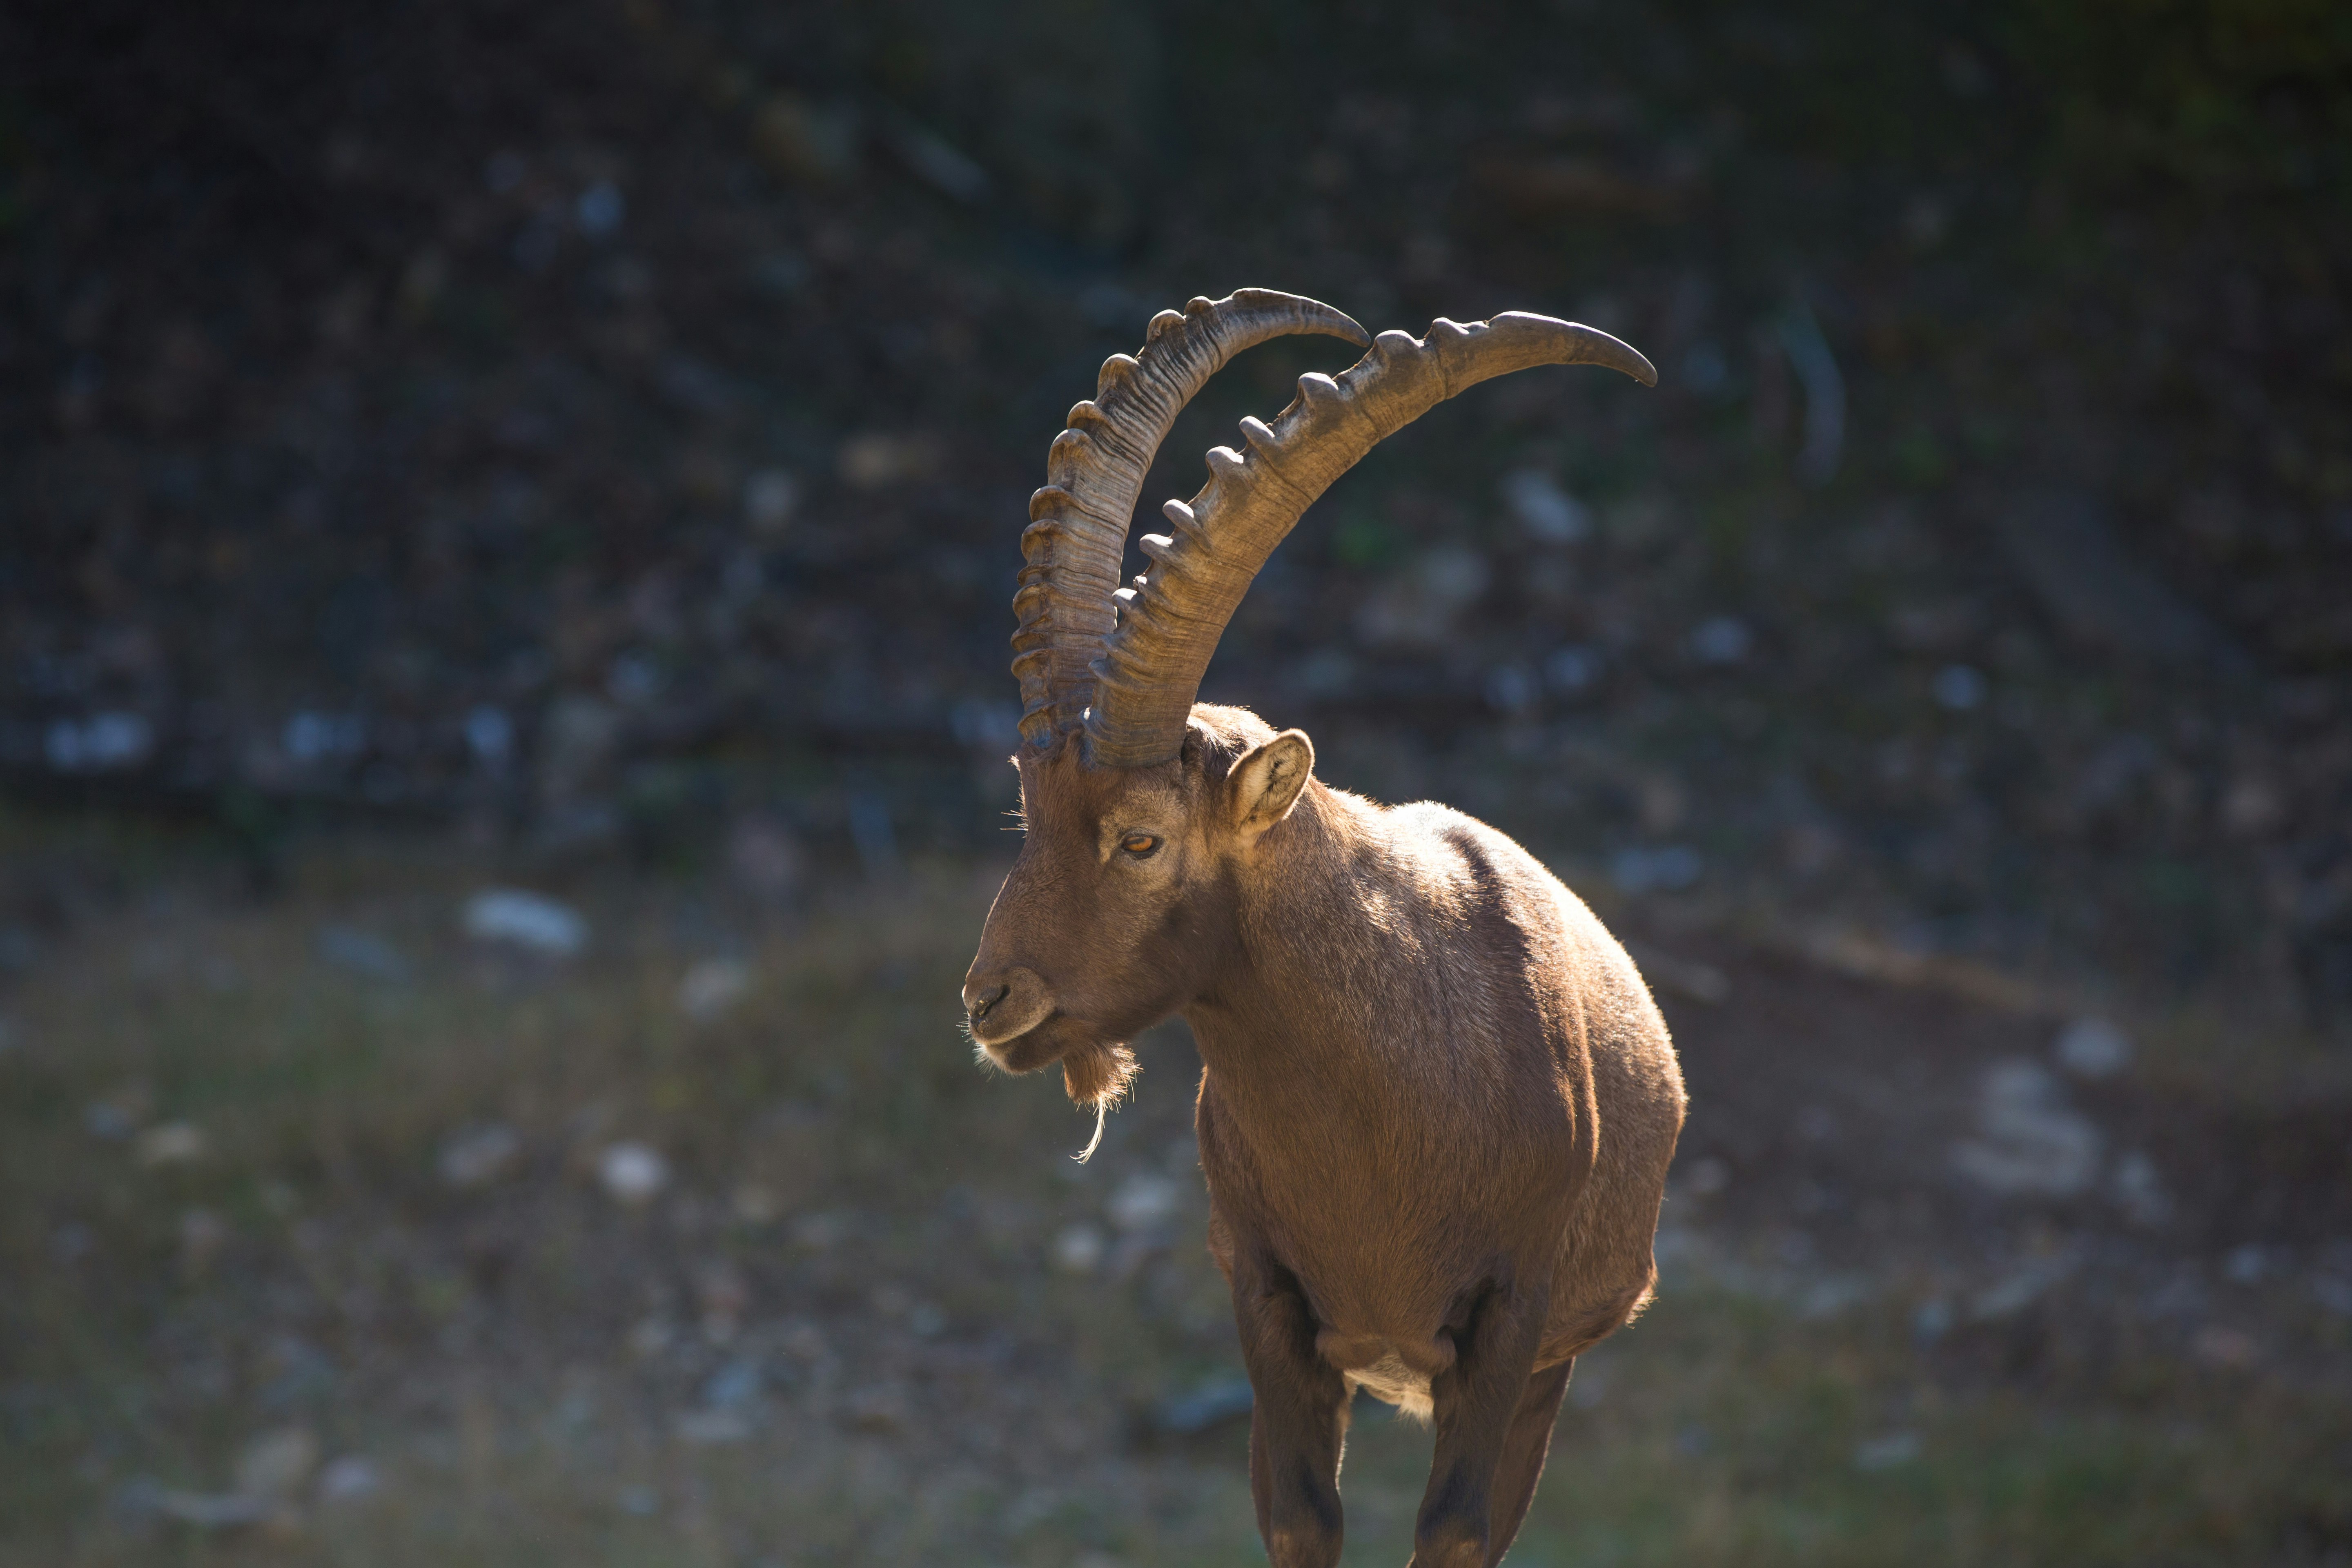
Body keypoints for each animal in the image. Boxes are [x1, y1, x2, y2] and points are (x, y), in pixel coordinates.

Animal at [960, 291, 1693, 1568]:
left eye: (1141, 839)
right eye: (1028, 810)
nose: (991, 1001)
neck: (1383, 1106)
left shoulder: (1513, 1316)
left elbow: (1453, 1530)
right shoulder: (1266, 1296)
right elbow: (1300, 1515)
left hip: (1554, 1364)